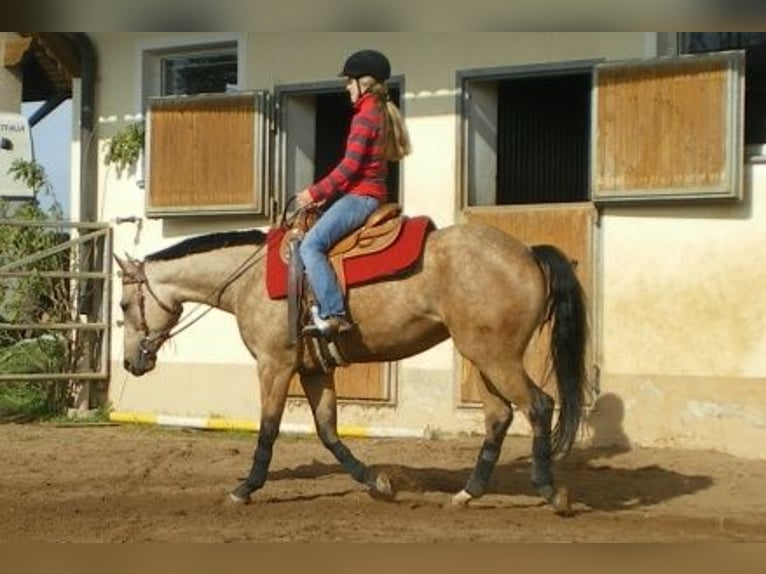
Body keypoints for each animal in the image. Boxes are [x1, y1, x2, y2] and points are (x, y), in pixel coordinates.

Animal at [115, 210, 588, 512]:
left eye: (121, 305)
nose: (130, 363)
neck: (248, 279)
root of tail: (528, 253)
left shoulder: (274, 365)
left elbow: (268, 428)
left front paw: (244, 489)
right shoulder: (314, 370)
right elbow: (328, 432)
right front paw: (378, 483)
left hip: (494, 357)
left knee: (538, 406)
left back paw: (551, 492)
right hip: (483, 357)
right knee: (499, 416)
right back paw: (466, 495)